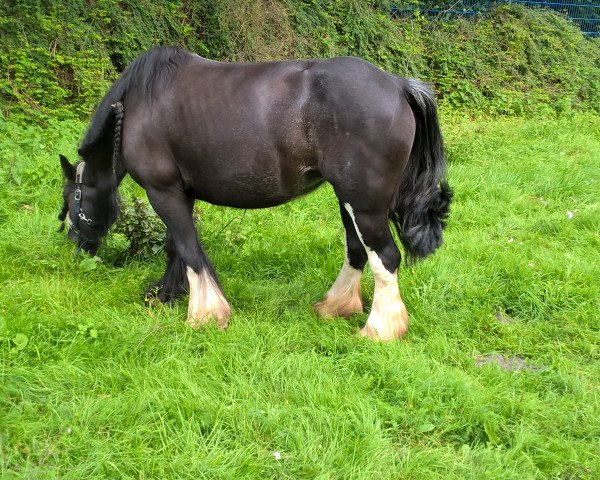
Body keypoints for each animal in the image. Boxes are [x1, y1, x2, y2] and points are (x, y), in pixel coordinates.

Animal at [58, 44, 450, 338]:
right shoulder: (178, 194)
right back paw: (336, 307)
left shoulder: (162, 192)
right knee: (356, 252)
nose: (75, 246)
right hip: (348, 200)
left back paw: (380, 330)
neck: (140, 101)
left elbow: (188, 250)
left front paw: (204, 315)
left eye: (71, 200)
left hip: (364, 205)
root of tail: (398, 85)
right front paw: (168, 295)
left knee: (385, 257)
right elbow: (176, 248)